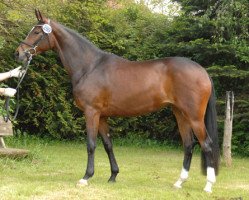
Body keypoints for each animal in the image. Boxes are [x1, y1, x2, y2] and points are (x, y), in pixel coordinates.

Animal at [14, 9, 219, 192]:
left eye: (37, 32)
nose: (18, 53)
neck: (89, 66)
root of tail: (202, 71)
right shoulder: (102, 116)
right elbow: (108, 145)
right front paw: (113, 175)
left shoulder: (91, 112)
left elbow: (91, 144)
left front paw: (86, 177)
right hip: (180, 113)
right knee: (188, 145)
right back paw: (178, 183)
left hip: (194, 116)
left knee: (207, 144)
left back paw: (208, 185)